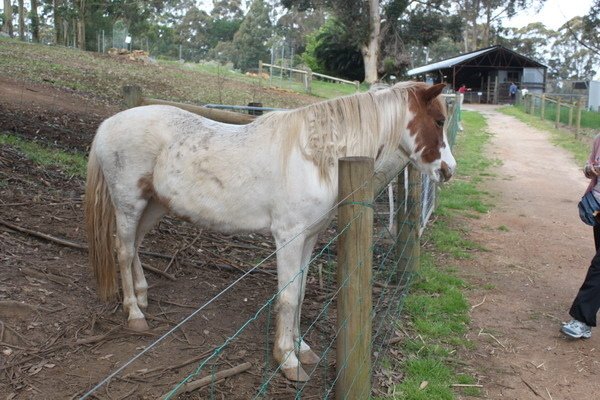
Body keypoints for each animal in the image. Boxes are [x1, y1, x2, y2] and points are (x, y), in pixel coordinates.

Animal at [85, 80, 454, 382]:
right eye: (439, 121)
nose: (449, 171)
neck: (315, 157)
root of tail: (108, 125)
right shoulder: (288, 238)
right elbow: (288, 297)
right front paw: (288, 360)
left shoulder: (309, 238)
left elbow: (301, 293)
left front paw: (301, 348)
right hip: (129, 204)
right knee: (124, 250)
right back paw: (134, 313)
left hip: (153, 206)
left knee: (135, 245)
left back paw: (143, 297)